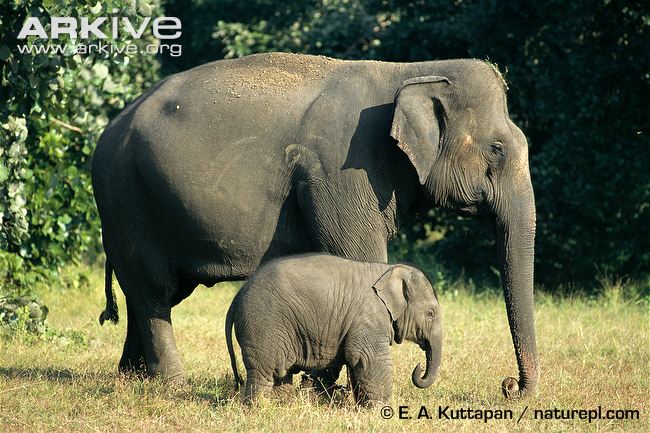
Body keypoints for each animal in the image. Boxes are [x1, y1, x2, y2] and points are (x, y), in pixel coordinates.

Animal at [225, 254, 442, 405]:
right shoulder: (369, 316)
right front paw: (382, 411)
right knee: (265, 370)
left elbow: (357, 362)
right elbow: (369, 358)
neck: (389, 270)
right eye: (431, 313)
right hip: (262, 323)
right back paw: (258, 409)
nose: (418, 368)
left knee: (281, 371)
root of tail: (237, 296)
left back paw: (283, 407)